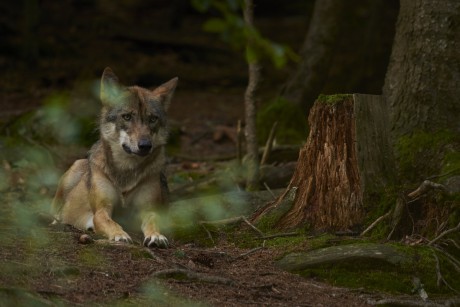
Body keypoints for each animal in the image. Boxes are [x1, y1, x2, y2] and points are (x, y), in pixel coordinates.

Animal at [51, 67, 178, 248]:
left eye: (153, 119)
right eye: (127, 117)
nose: (145, 145)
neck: (127, 170)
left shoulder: (149, 210)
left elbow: (153, 222)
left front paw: (156, 236)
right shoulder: (102, 210)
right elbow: (111, 222)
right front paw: (120, 235)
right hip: (74, 170)